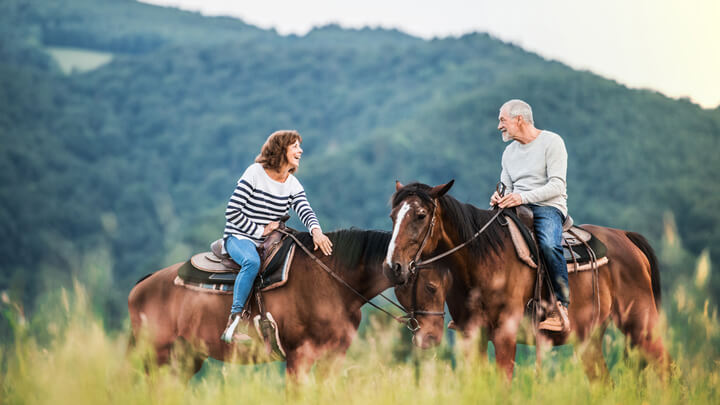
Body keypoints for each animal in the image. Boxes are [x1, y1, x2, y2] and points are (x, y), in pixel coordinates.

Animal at [128, 229, 444, 380]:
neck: (333, 281)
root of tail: (141, 286)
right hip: (158, 357)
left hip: (186, 358)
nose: (433, 337)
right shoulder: (299, 357)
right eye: (431, 286)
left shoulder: (333, 357)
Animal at [386, 181, 672, 380]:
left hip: (642, 326)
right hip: (588, 340)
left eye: (421, 215)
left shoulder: (505, 335)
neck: (482, 260)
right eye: (393, 216)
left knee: (666, 369)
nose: (393, 266)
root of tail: (625, 236)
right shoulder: (472, 336)